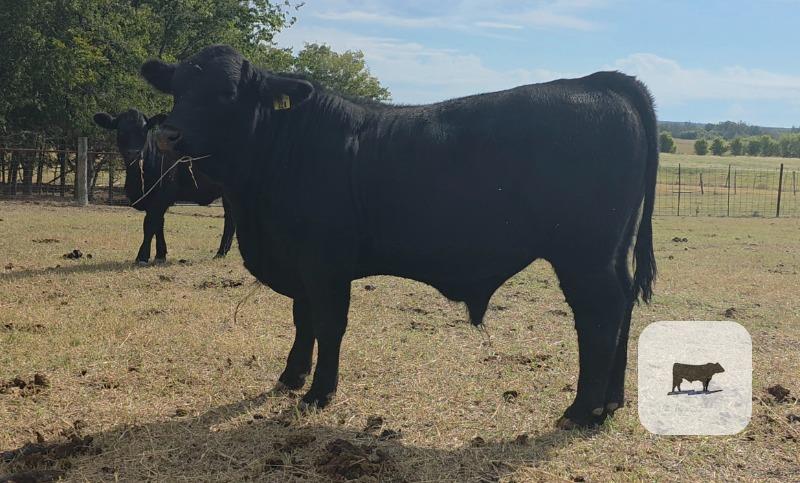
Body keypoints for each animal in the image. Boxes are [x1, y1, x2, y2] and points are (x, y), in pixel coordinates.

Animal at [93, 109, 236, 264]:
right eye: (121, 131)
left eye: (144, 131)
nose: (133, 153)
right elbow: (159, 224)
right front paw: (160, 254)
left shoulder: (162, 196)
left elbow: (150, 224)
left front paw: (142, 256)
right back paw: (221, 252)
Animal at [140, 45, 658, 428]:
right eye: (178, 89)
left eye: (227, 93)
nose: (168, 135)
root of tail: (600, 80)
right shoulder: (300, 260)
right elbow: (302, 320)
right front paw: (291, 377)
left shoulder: (324, 263)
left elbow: (328, 324)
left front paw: (319, 393)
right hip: (611, 252)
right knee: (623, 305)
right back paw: (609, 405)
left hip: (583, 254)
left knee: (599, 316)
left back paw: (581, 410)